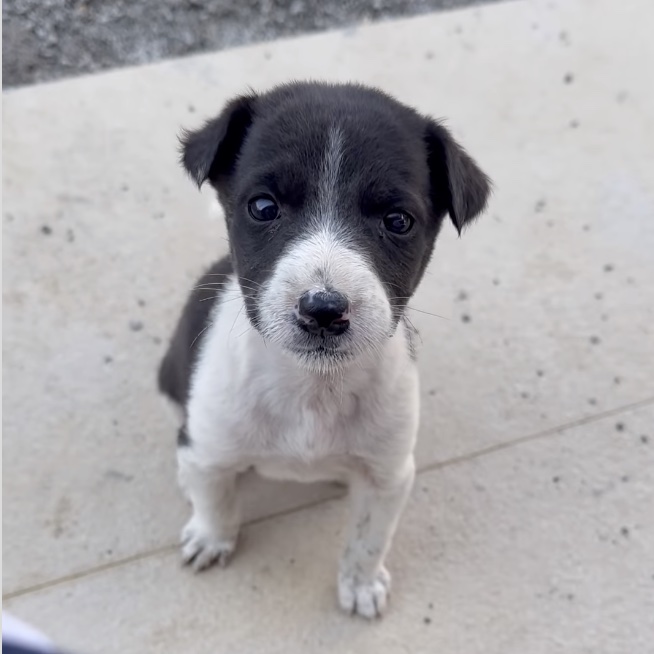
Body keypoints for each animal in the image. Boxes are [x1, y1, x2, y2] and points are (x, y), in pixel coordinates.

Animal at [158, 82, 490, 618]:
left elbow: (369, 539)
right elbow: (214, 498)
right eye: (263, 207)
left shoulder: (389, 475)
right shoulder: (207, 445)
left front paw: (360, 583)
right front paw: (211, 536)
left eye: (398, 221)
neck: (313, 389)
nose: (323, 310)